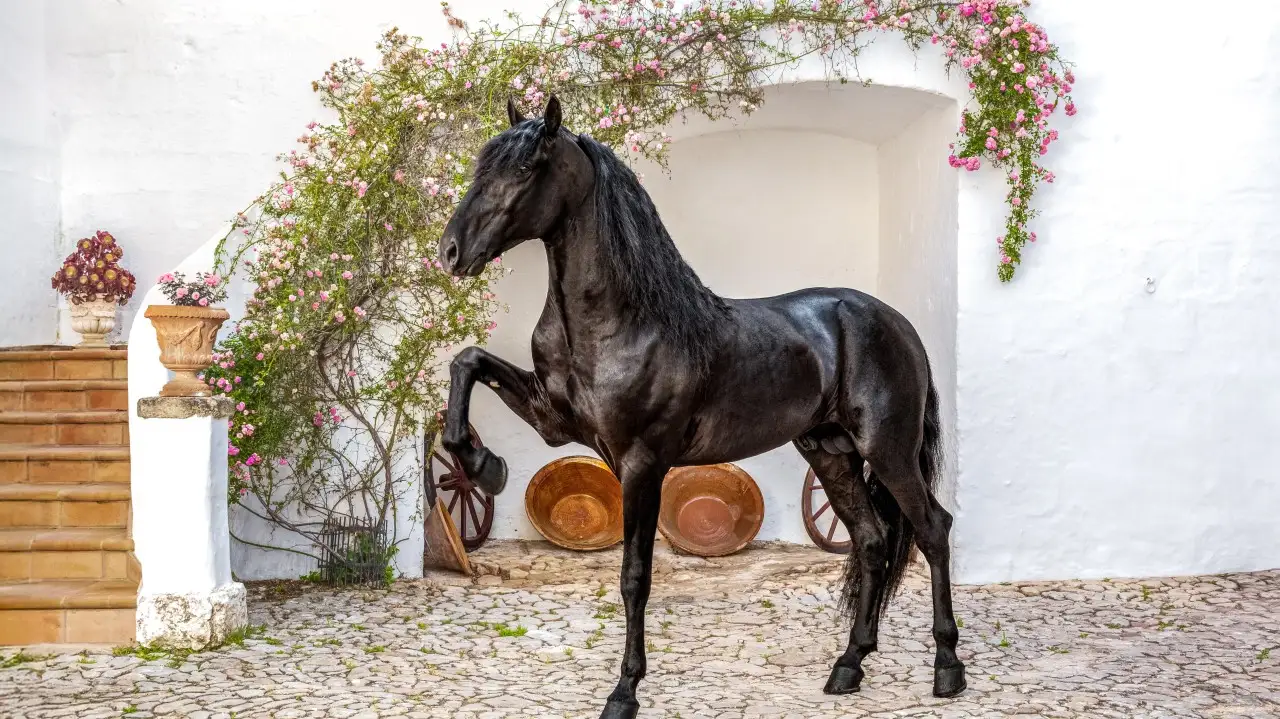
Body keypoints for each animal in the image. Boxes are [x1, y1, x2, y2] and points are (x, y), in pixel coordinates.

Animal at [437, 95, 964, 719]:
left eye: (523, 168)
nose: (451, 252)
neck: (618, 321)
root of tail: (898, 324)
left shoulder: (642, 464)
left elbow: (634, 577)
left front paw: (624, 693)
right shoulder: (553, 420)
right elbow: (467, 362)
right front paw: (481, 465)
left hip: (887, 449)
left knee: (932, 529)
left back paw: (948, 669)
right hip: (831, 453)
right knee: (872, 539)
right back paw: (848, 666)